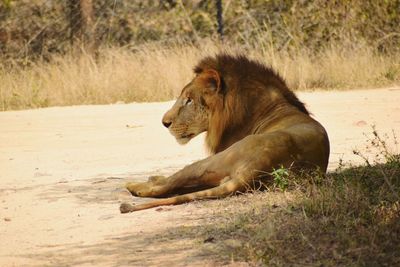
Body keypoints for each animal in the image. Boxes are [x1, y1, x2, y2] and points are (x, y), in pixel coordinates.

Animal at [119, 54, 332, 214]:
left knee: (169, 183)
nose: (165, 123)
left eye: (189, 100)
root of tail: (256, 166)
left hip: (213, 161)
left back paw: (135, 186)